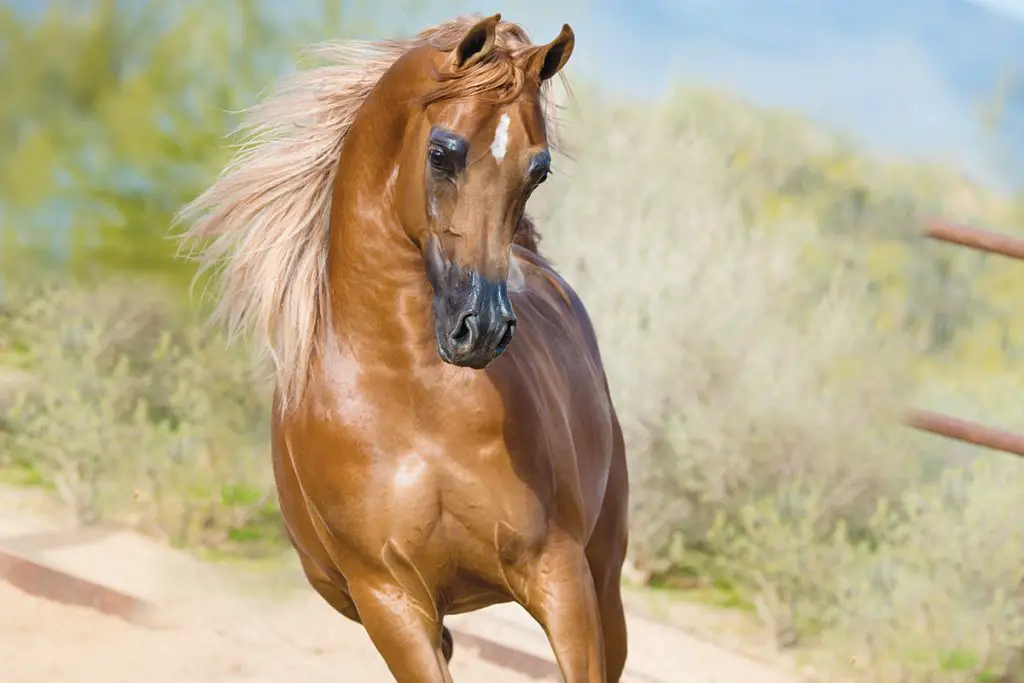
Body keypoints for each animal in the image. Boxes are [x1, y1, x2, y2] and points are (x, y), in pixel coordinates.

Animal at [176, 14, 629, 682]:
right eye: (442, 152)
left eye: (538, 169)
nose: (481, 327)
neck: (413, 402)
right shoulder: (390, 601)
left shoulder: (561, 575)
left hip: (605, 575)